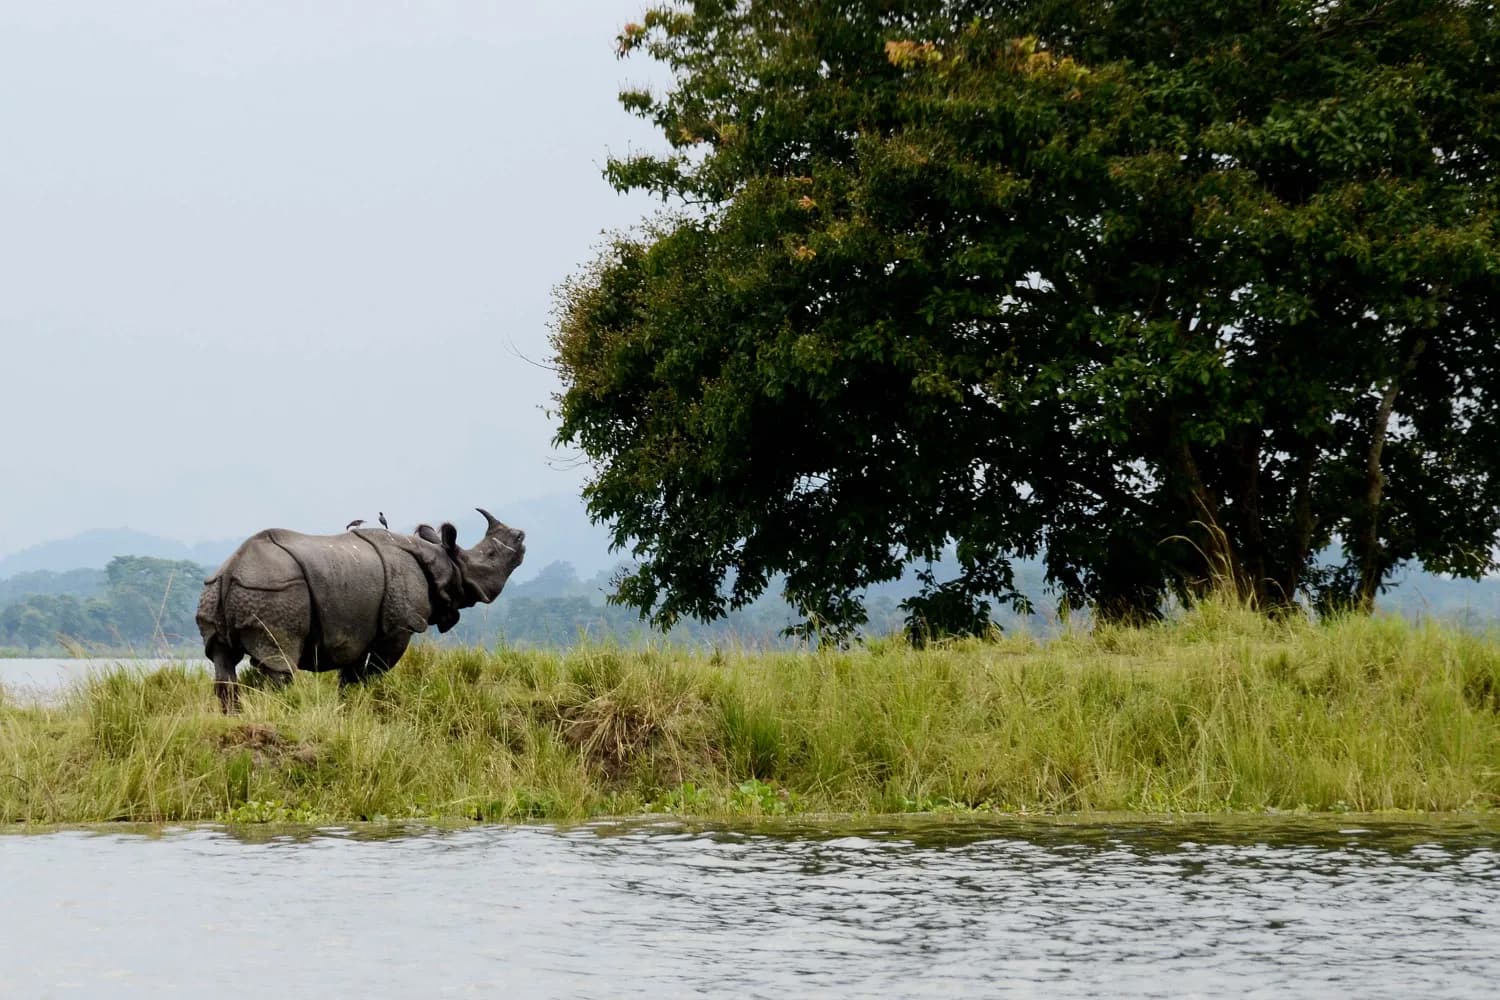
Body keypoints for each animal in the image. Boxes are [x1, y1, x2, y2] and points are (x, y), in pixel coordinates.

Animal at [196, 509, 525, 712]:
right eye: (490, 556)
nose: (521, 537)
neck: (439, 558)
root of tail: (232, 569)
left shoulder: (355, 629)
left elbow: (351, 675)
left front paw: (348, 707)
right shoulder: (400, 626)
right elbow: (377, 669)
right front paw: (372, 700)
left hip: (215, 590)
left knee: (221, 658)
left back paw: (235, 716)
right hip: (273, 591)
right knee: (279, 663)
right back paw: (280, 712)